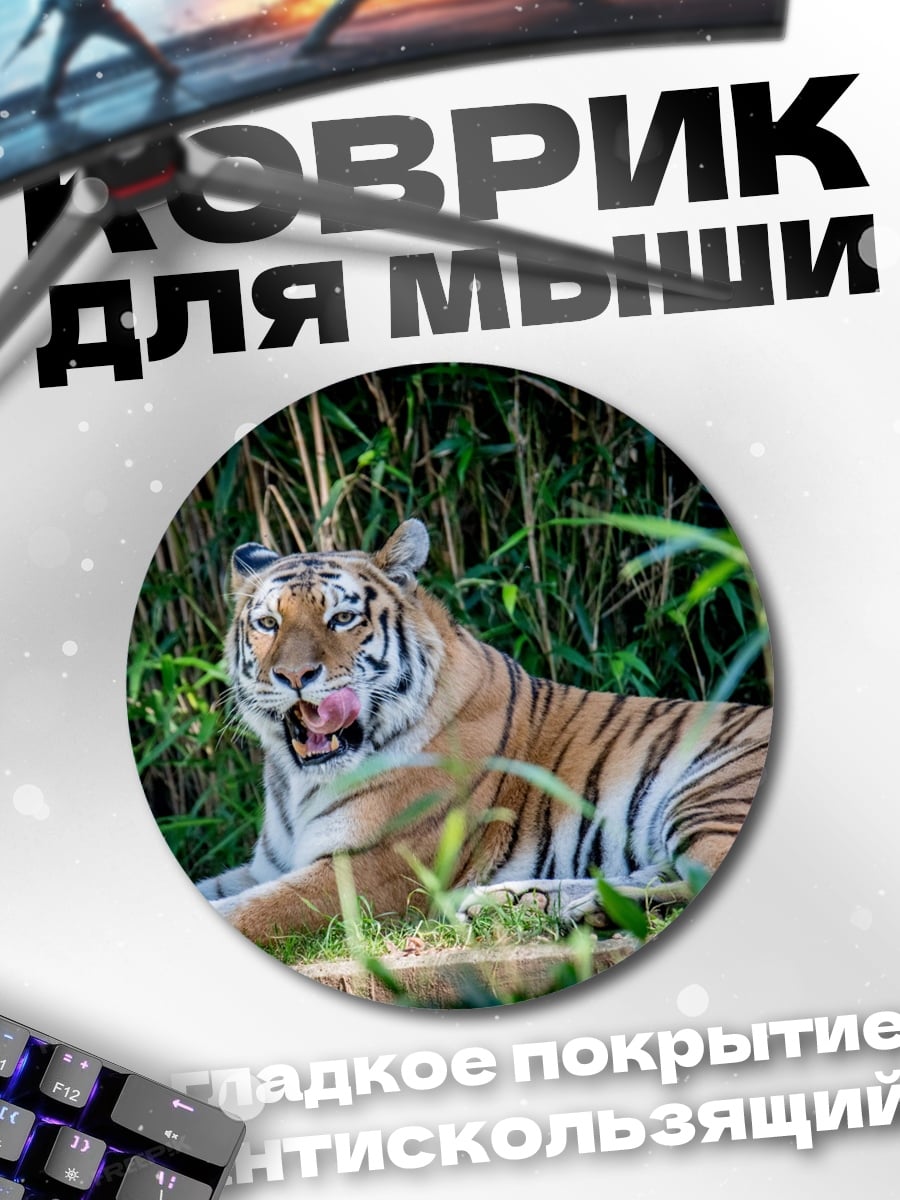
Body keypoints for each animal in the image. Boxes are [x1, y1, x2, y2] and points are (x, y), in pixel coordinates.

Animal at [197, 518, 772, 944]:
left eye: (341, 619)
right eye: (268, 624)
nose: (294, 676)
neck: (297, 781)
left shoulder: (374, 867)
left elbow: (251, 911)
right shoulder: (266, 865)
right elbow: (213, 888)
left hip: (712, 790)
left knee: (694, 880)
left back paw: (590, 912)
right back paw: (518, 900)